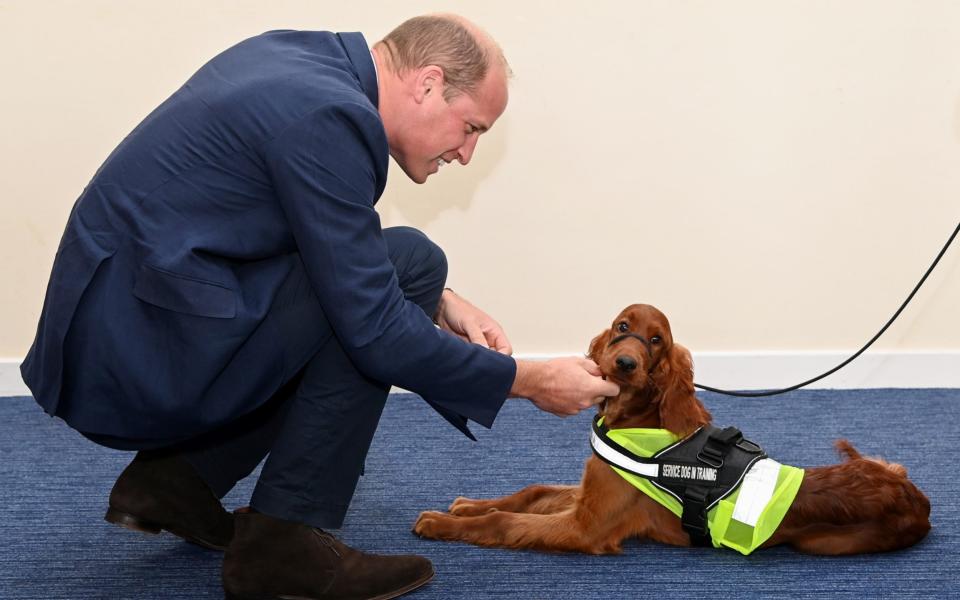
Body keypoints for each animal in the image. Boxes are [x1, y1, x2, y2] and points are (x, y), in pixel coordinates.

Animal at [412, 302, 928, 556]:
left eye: (656, 340)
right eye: (622, 327)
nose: (624, 363)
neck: (635, 419)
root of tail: (916, 499)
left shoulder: (586, 527)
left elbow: (505, 522)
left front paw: (441, 522)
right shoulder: (588, 494)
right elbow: (531, 492)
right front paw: (466, 505)